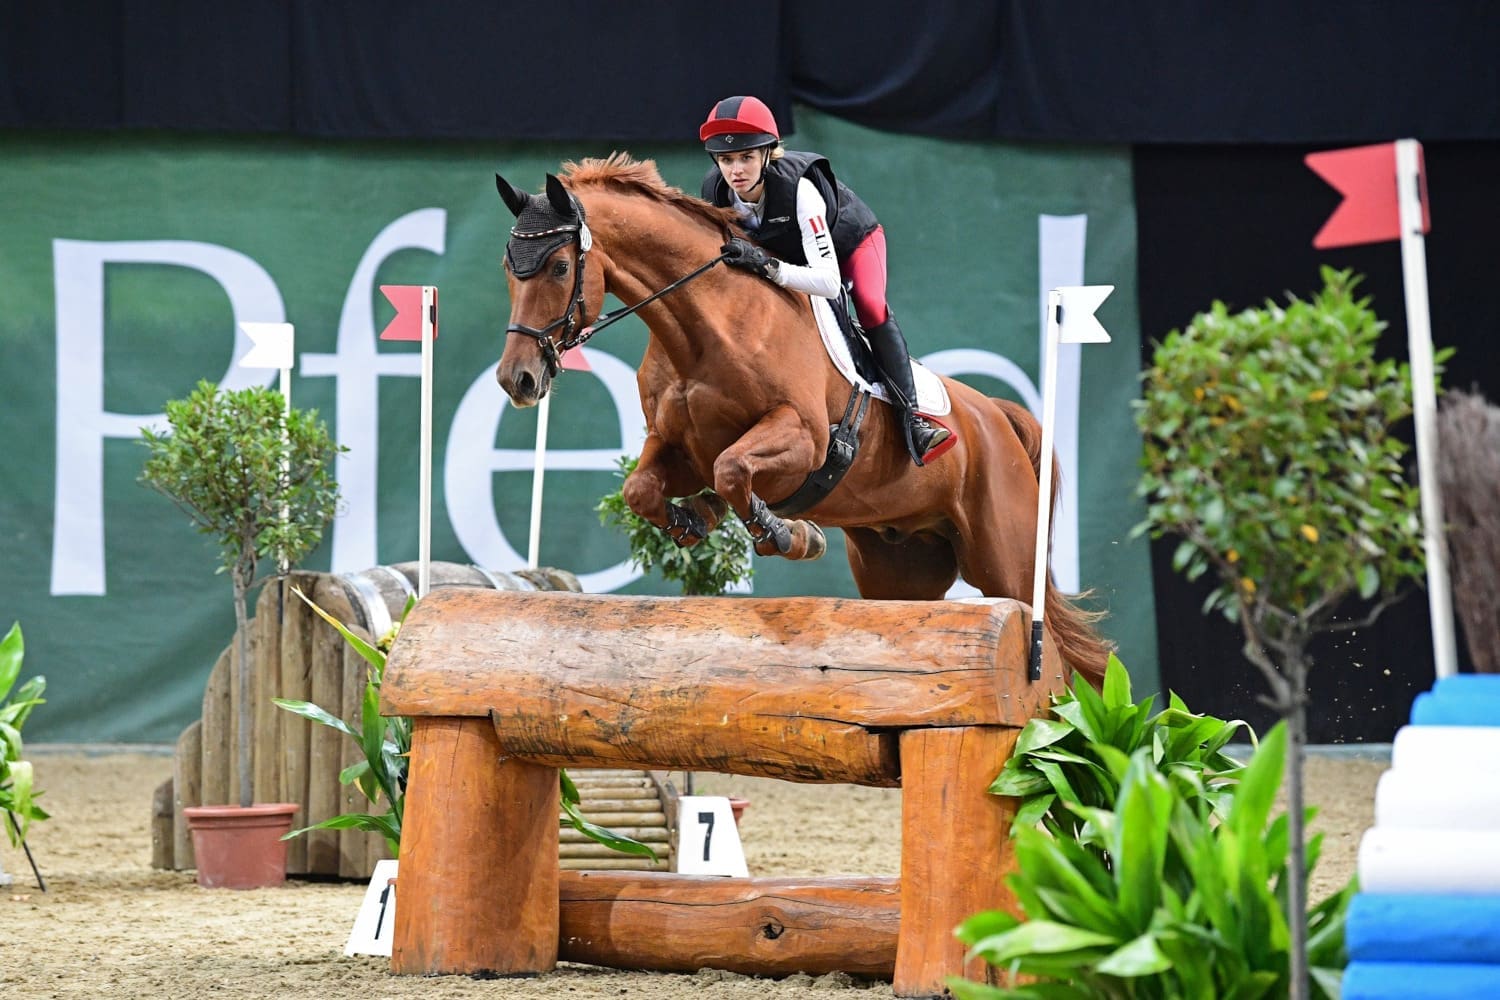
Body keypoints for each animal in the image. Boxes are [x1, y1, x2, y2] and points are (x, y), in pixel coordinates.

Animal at [495, 154, 1116, 689]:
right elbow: (644, 488)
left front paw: (791, 535)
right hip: (898, 571)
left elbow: (732, 469)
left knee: (1053, 662)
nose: (516, 380)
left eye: (559, 266)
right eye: (508, 269)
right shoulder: (674, 445)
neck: (703, 324)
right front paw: (694, 519)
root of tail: (999, 416)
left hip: (1005, 560)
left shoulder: (804, 440)